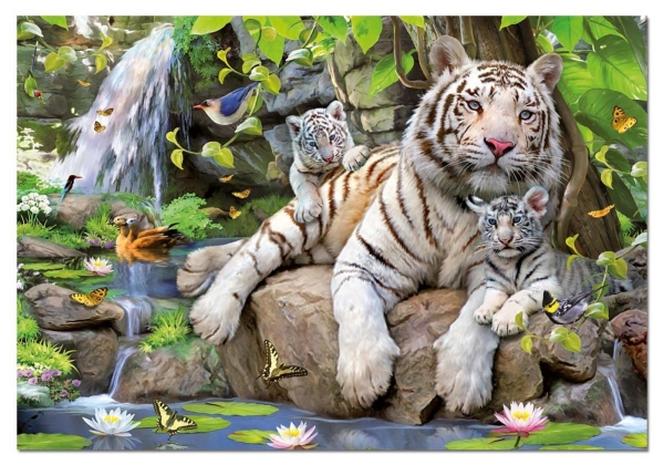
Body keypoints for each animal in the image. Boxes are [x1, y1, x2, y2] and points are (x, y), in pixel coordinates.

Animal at [178, 35, 565, 415]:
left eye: (525, 114)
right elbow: (357, 308)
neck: (460, 203)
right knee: (254, 251)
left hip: (317, 248)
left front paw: (462, 383)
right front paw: (363, 379)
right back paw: (211, 313)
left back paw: (191, 269)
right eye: (473, 105)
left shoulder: (490, 270)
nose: (500, 144)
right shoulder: (363, 261)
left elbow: (477, 316)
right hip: (313, 218)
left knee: (243, 247)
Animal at [466, 186, 632, 335]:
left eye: (516, 220)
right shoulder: (495, 285)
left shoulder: (546, 284)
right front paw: (483, 312)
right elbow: (491, 297)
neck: (508, 262)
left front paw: (505, 322)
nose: (504, 239)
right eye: (492, 222)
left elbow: (517, 297)